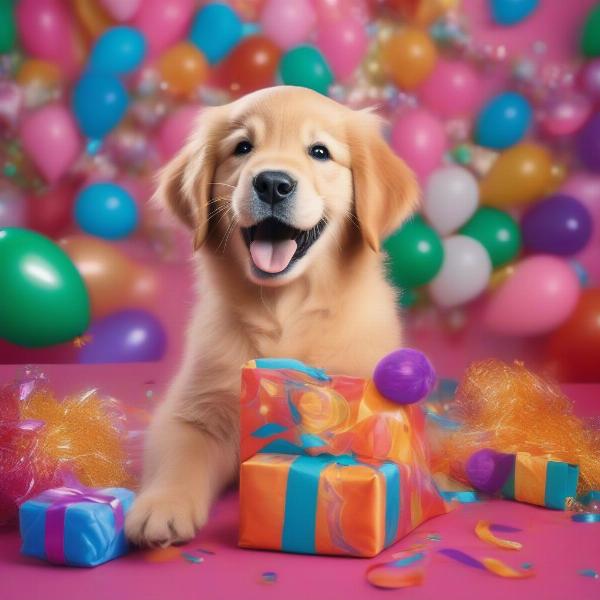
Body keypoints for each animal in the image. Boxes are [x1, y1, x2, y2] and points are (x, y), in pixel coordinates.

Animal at [126, 85, 418, 548]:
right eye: (243, 148)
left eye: (319, 152)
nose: (273, 184)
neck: (286, 310)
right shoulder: (194, 408)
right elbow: (180, 453)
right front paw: (162, 506)